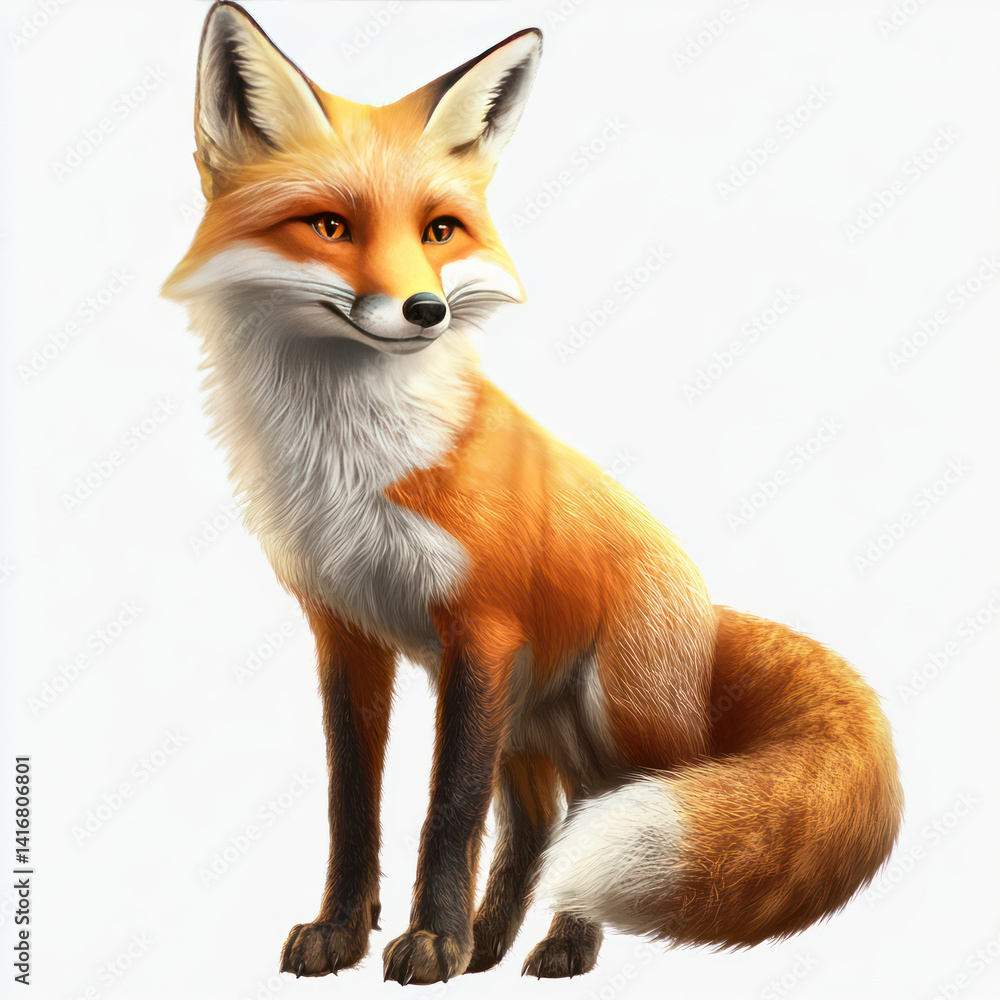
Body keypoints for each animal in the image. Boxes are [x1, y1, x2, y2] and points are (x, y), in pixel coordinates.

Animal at [164, 1, 903, 985]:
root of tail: (706, 614)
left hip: (606, 717)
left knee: (600, 813)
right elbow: (352, 805)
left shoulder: (480, 625)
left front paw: (429, 941)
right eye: (329, 226)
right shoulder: (347, 631)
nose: (426, 312)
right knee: (542, 822)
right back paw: (493, 941)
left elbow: (446, 812)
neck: (352, 461)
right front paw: (345, 931)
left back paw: (563, 945)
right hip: (523, 718)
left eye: (440, 232)